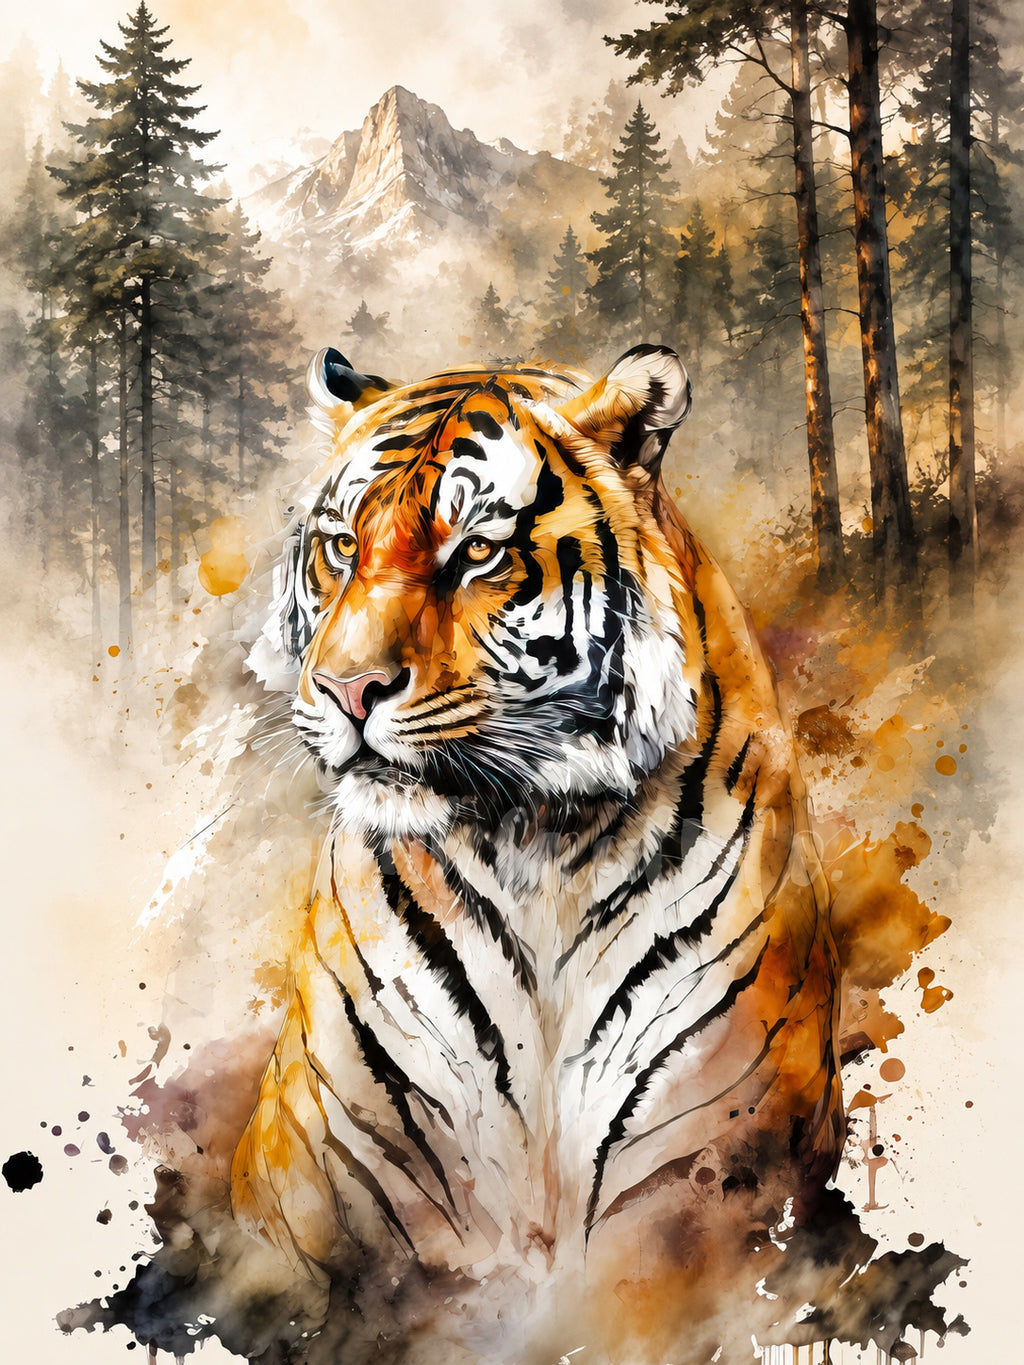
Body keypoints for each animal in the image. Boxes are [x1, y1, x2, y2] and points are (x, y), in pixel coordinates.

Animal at [231, 343, 844, 1363]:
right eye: (343, 547)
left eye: (476, 552)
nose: (347, 688)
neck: (534, 845)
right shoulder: (313, 1174)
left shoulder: (704, 1163)